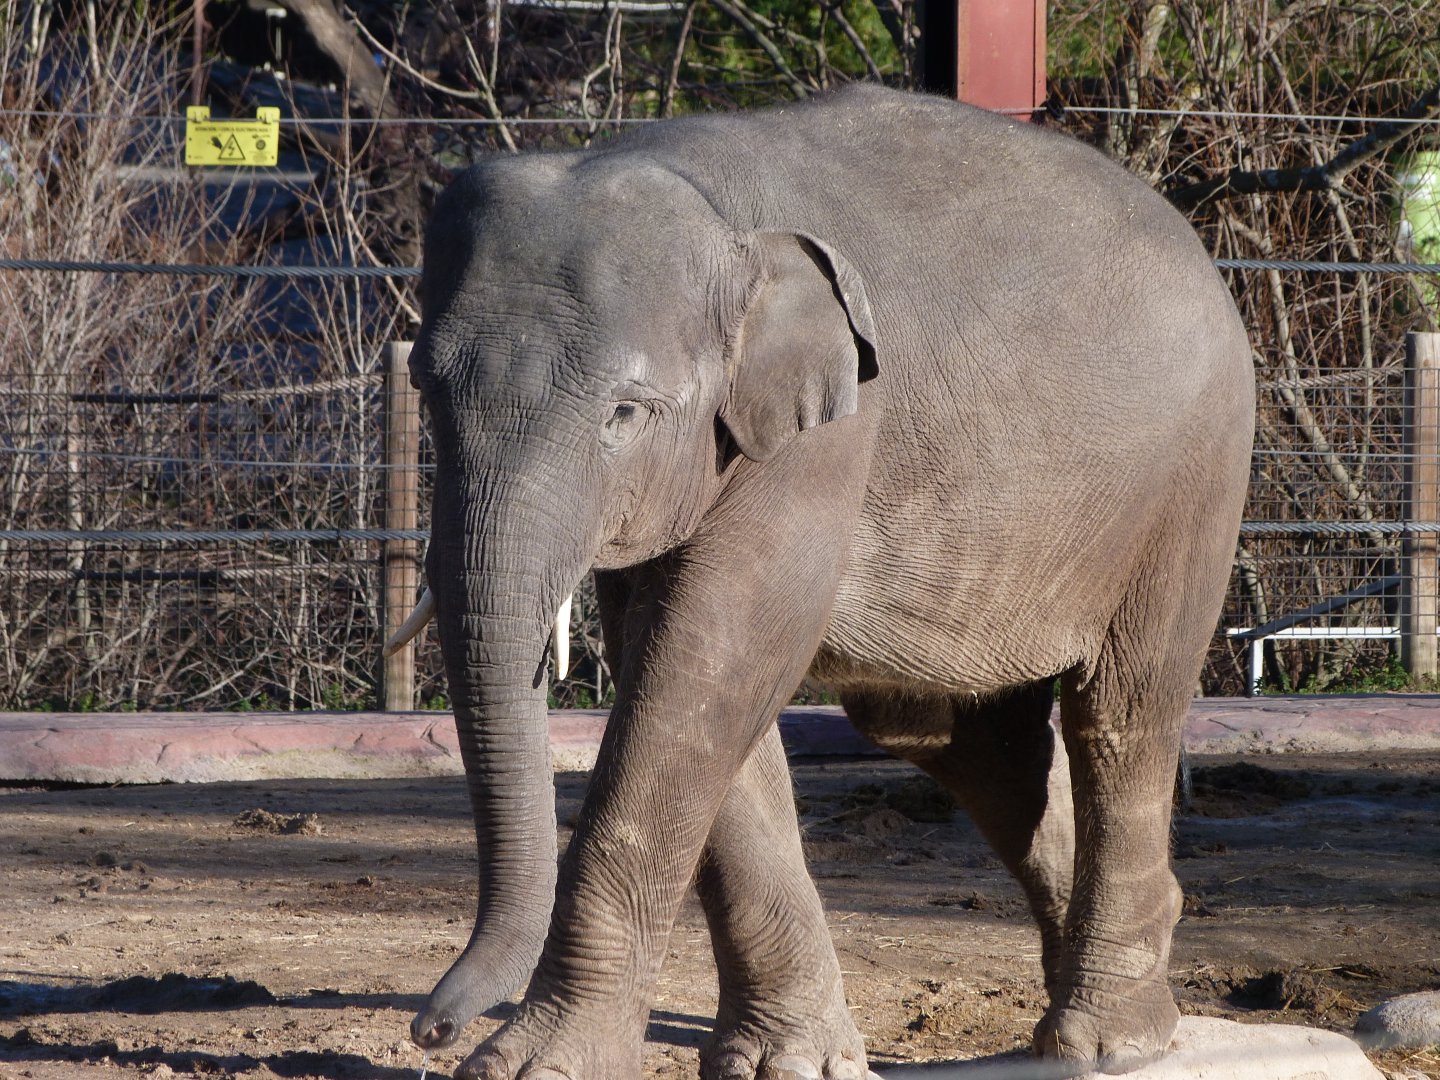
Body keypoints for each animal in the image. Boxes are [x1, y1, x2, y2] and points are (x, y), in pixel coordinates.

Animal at [386, 84, 1255, 1079]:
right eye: (424, 386)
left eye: (625, 412)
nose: (430, 1028)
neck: (703, 200)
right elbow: (698, 677)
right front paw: (784, 1062)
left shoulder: (829, 432)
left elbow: (710, 660)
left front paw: (537, 1065)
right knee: (970, 744)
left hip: (1192, 481)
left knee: (1123, 712)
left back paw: (1110, 1040)